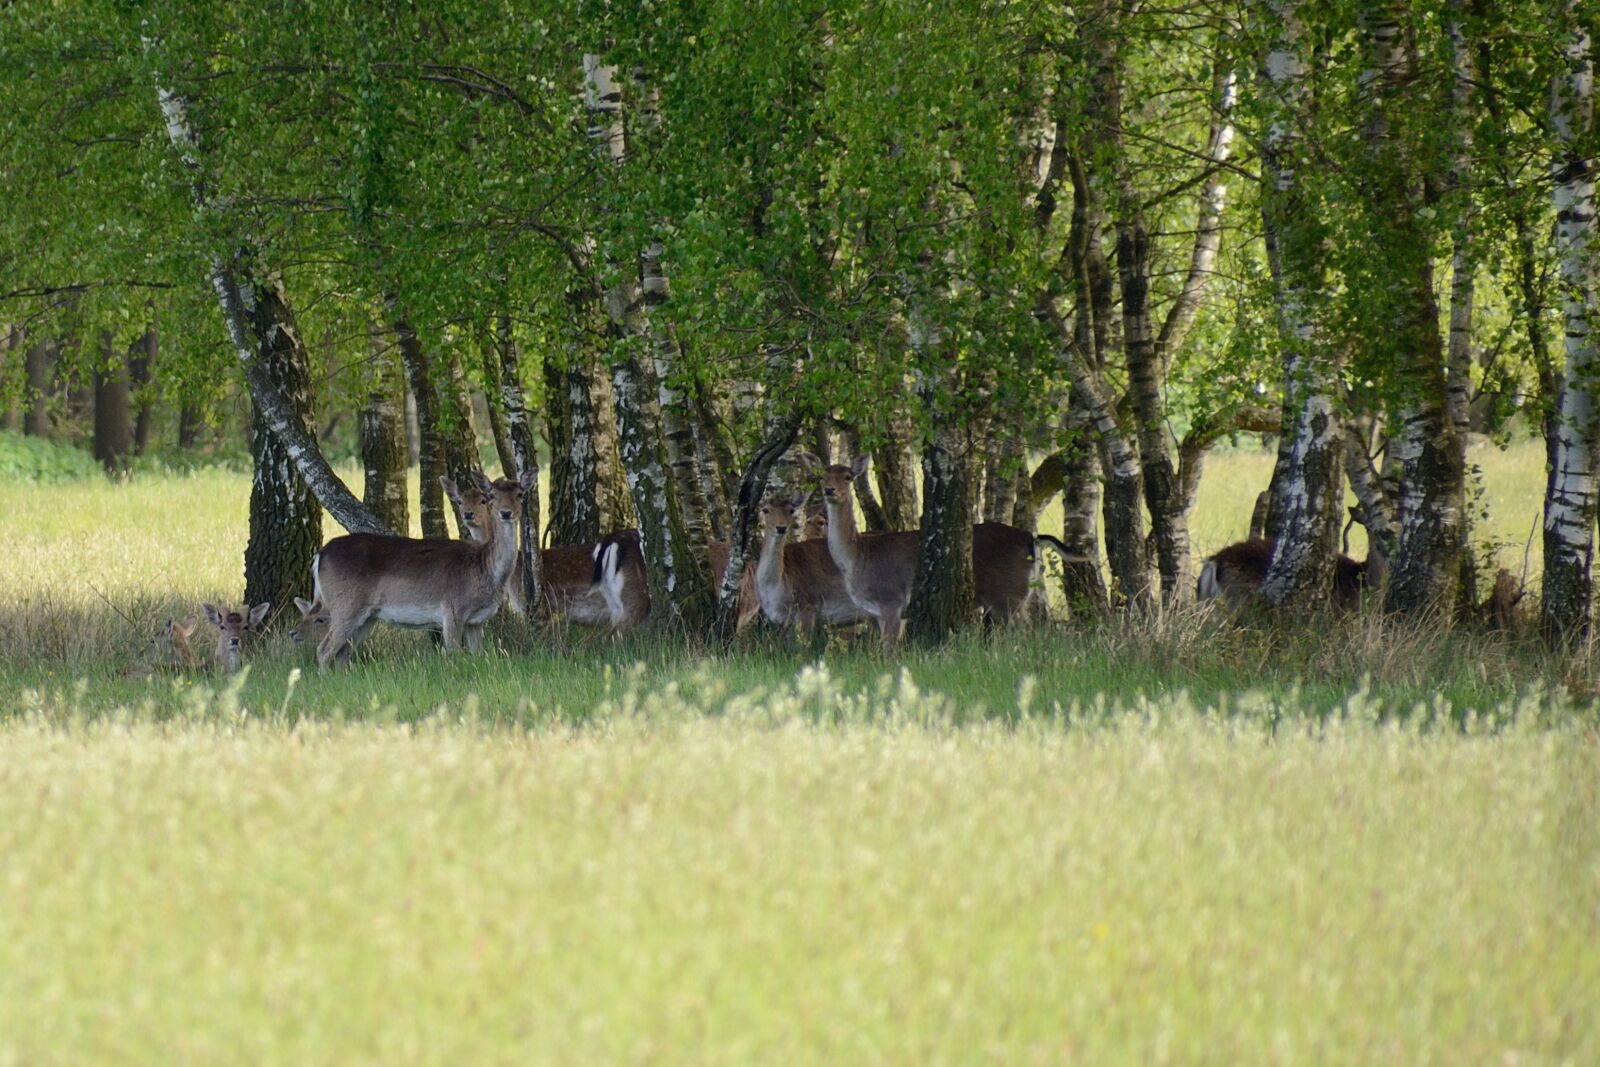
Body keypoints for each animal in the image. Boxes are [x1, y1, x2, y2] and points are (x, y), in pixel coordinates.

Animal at [312, 470, 531, 668]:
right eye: (491, 495)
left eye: (520, 494)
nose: (506, 513)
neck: (484, 569)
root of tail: (319, 556)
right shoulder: (451, 610)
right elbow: (455, 655)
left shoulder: (476, 621)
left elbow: (479, 655)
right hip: (344, 605)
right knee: (323, 650)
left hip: (367, 617)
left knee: (343, 653)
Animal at [806, 455, 1071, 651]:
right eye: (822, 476)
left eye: (848, 477)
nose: (829, 490)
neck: (857, 557)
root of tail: (1032, 538)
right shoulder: (878, 613)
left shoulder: (891, 601)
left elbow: (889, 651)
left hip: (1009, 595)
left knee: (1028, 633)